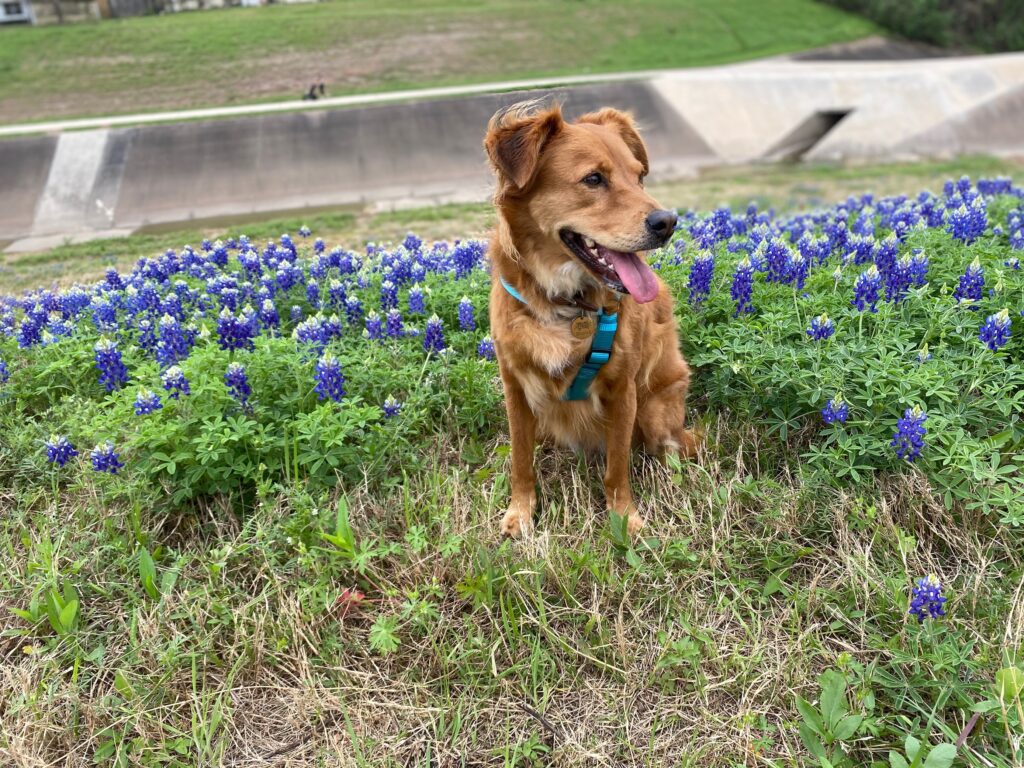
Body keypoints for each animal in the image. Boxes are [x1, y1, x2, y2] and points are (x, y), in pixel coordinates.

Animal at [485, 100, 696, 540]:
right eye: (594, 179)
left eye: (639, 177)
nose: (668, 221)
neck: (566, 302)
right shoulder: (515, 385)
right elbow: (520, 459)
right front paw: (521, 512)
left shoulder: (622, 389)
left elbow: (617, 467)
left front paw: (624, 518)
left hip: (656, 411)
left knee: (670, 448)